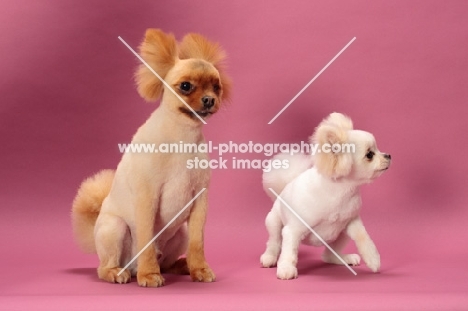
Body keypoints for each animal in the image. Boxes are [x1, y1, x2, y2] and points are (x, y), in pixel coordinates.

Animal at [72, 29, 231, 288]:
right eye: (186, 86)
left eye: (217, 87)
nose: (209, 99)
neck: (182, 138)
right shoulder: (148, 198)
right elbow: (146, 238)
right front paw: (148, 275)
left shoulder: (199, 201)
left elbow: (198, 243)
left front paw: (200, 269)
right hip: (114, 228)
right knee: (103, 267)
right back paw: (119, 272)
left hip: (180, 233)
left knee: (166, 261)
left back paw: (181, 265)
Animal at [260, 112, 392, 280]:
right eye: (370, 155)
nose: (388, 155)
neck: (341, 191)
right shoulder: (293, 230)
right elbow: (289, 251)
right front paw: (286, 268)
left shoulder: (352, 222)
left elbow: (364, 238)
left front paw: (373, 259)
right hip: (274, 223)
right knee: (275, 242)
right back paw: (269, 257)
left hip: (341, 233)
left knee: (328, 255)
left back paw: (343, 258)